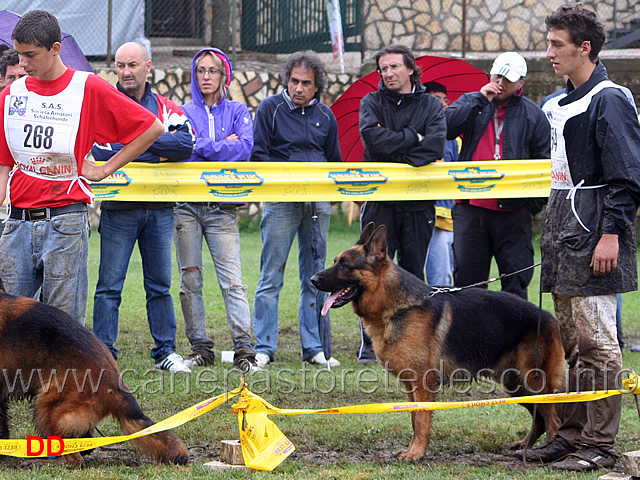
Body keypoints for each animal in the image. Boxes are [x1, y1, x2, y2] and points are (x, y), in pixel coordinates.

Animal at [310, 223, 564, 460]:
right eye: (336, 261)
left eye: (344, 265)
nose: (312, 279)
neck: (398, 306)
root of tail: (550, 317)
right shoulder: (410, 385)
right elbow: (414, 418)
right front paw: (412, 449)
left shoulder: (422, 383)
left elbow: (422, 419)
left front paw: (416, 453)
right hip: (516, 386)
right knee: (540, 418)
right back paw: (526, 446)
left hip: (533, 382)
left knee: (553, 419)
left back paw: (549, 450)